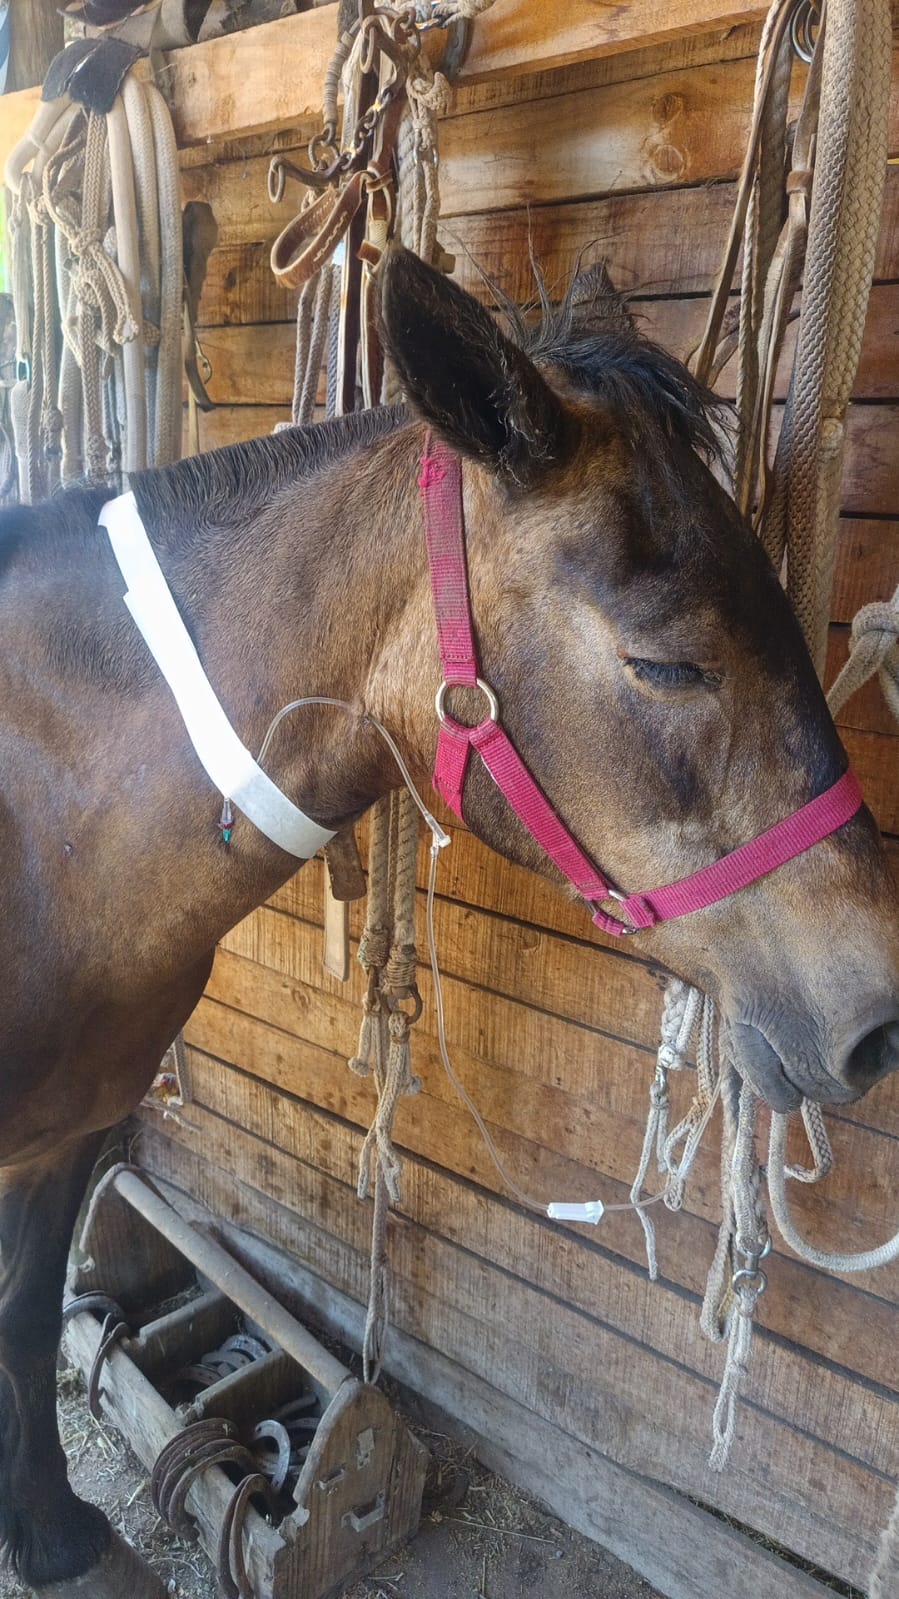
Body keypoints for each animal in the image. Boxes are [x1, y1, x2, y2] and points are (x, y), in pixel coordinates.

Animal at [1, 245, 897, 1597]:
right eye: (667, 663)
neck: (46, 813)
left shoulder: (68, 1132)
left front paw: (49, 1532)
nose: (876, 1015)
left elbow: (20, 1317)